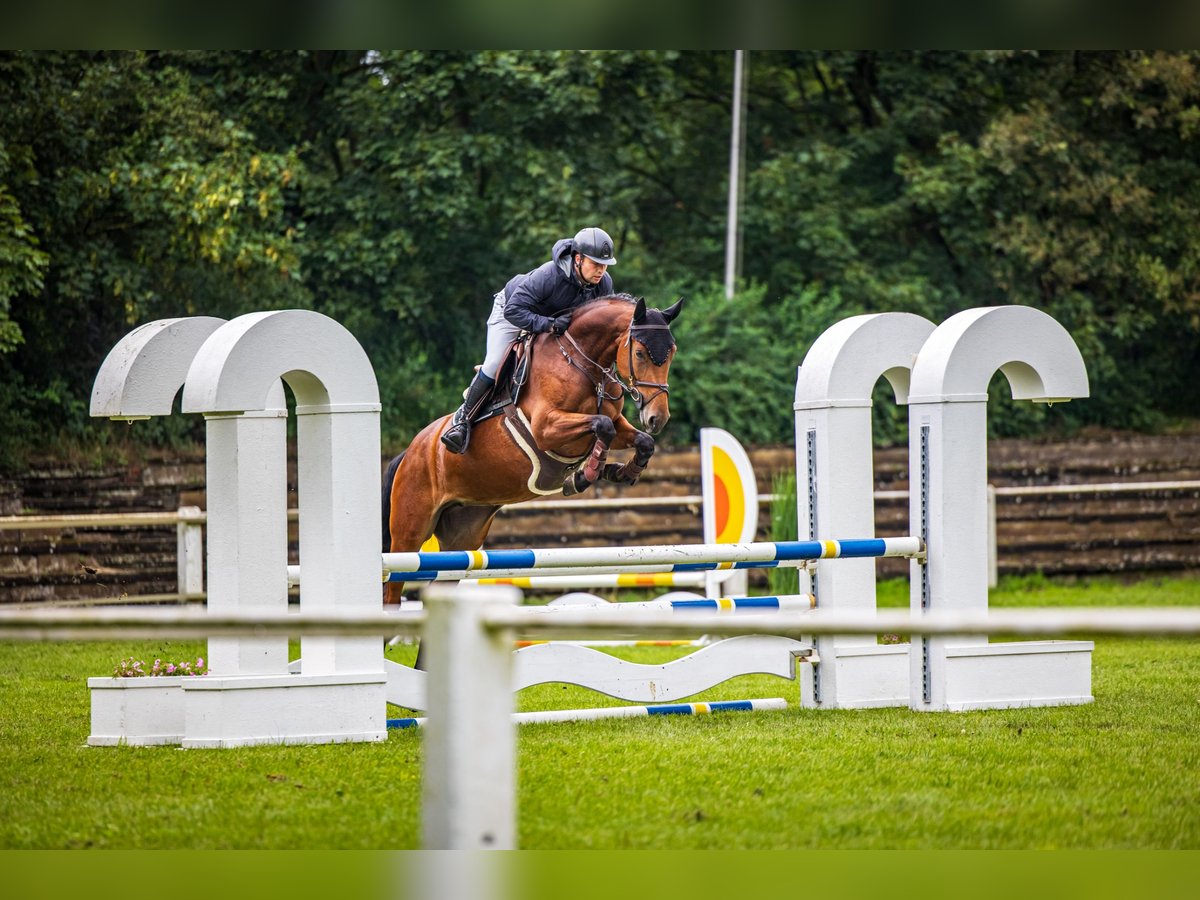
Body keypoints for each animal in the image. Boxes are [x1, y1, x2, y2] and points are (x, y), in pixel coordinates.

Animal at [384, 294, 686, 607]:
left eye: (672, 352)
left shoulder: (614, 422)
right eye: (639, 353)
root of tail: (409, 453)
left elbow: (639, 440)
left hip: (463, 535)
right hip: (409, 531)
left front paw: (620, 472)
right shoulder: (547, 428)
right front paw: (586, 474)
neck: (582, 364)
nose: (657, 418)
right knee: (392, 586)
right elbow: (602, 426)